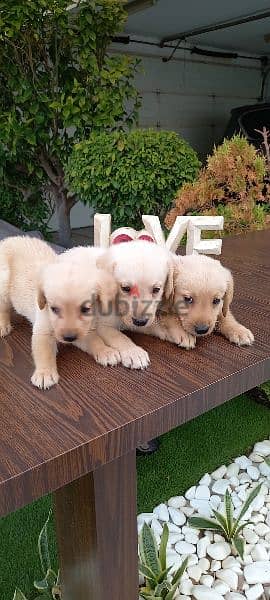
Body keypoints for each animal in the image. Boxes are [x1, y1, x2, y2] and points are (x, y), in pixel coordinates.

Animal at [0, 237, 119, 392]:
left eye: (85, 309)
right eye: (54, 309)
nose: (69, 338)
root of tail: (9, 239)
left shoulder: (84, 331)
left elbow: (95, 340)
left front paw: (106, 351)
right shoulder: (42, 330)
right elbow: (43, 352)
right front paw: (44, 373)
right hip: (3, 285)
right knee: (3, 307)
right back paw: (3, 326)